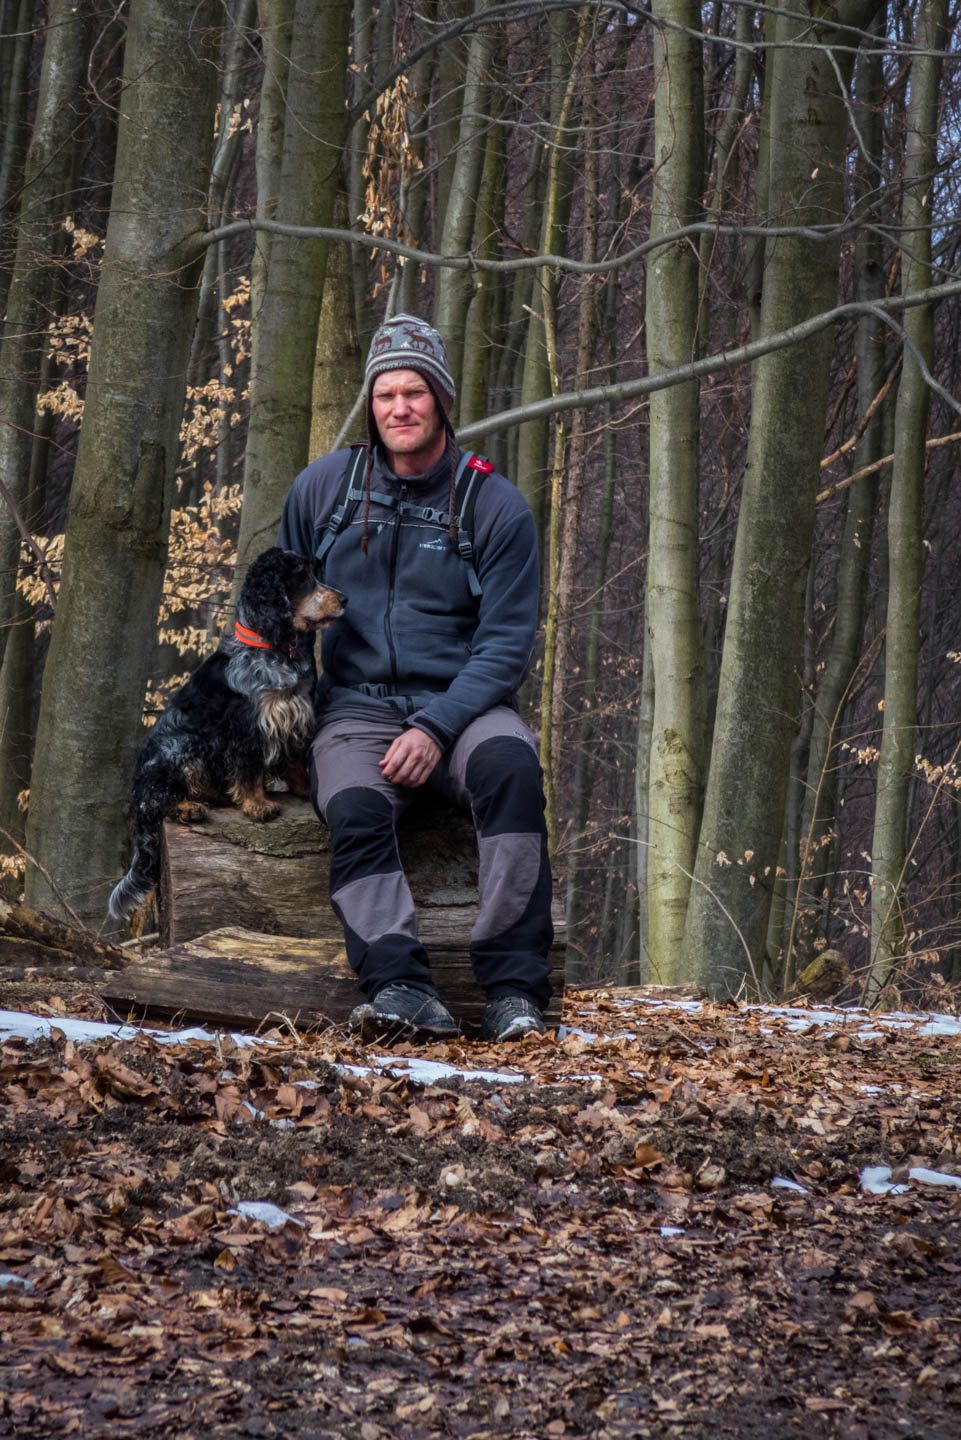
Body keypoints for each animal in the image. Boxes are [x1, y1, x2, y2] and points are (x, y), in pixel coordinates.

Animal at [108, 544, 345, 915]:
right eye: (303, 575)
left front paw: (306, 788)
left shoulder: (294, 712)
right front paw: (258, 805)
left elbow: (294, 760)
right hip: (182, 749)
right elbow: (249, 770)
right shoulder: (247, 725)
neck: (272, 647)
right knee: (156, 800)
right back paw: (188, 807)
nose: (344, 598)